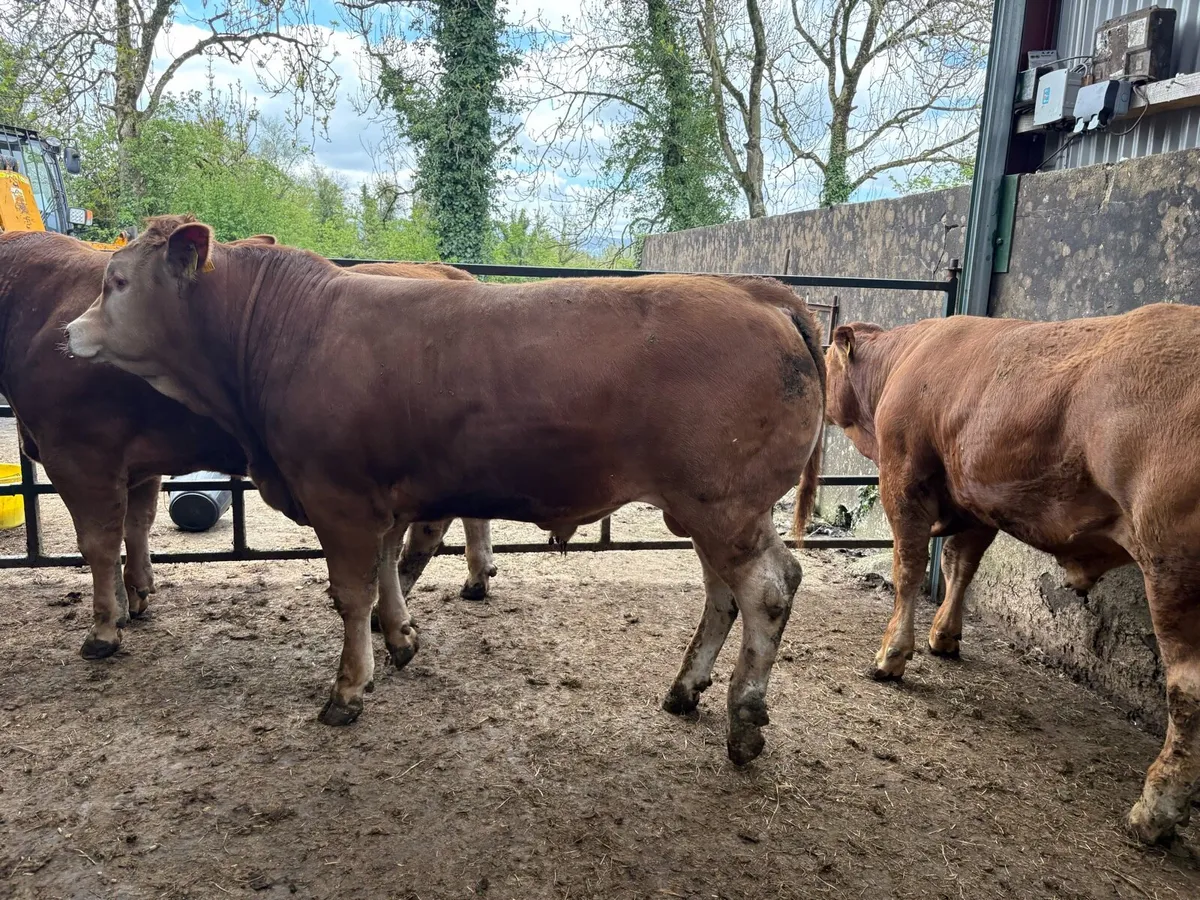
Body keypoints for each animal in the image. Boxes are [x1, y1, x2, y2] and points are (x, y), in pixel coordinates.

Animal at [65, 214, 826, 765]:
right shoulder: (380, 496)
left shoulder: (338, 497)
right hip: (706, 510)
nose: (68, 333)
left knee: (768, 589)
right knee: (724, 594)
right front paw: (400, 639)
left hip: (724, 505)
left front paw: (348, 687)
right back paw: (685, 689)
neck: (287, 330)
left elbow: (351, 593)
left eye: (118, 281)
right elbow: (386, 570)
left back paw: (744, 718)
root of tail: (757, 289)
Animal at [823, 307, 1200, 844]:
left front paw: (892, 654)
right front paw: (945, 636)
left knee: (1187, 693)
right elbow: (959, 564)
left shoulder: (904, 479)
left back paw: (1156, 809)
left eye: (825, 358)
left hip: (1174, 572)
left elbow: (910, 567)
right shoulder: (973, 496)